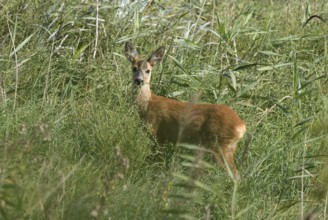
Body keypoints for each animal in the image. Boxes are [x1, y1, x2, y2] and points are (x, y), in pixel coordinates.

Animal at [125, 41, 246, 180]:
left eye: (148, 70)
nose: (139, 80)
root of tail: (242, 126)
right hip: (228, 146)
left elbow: (155, 158)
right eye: (134, 68)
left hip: (219, 145)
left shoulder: (156, 133)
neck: (147, 105)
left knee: (234, 174)